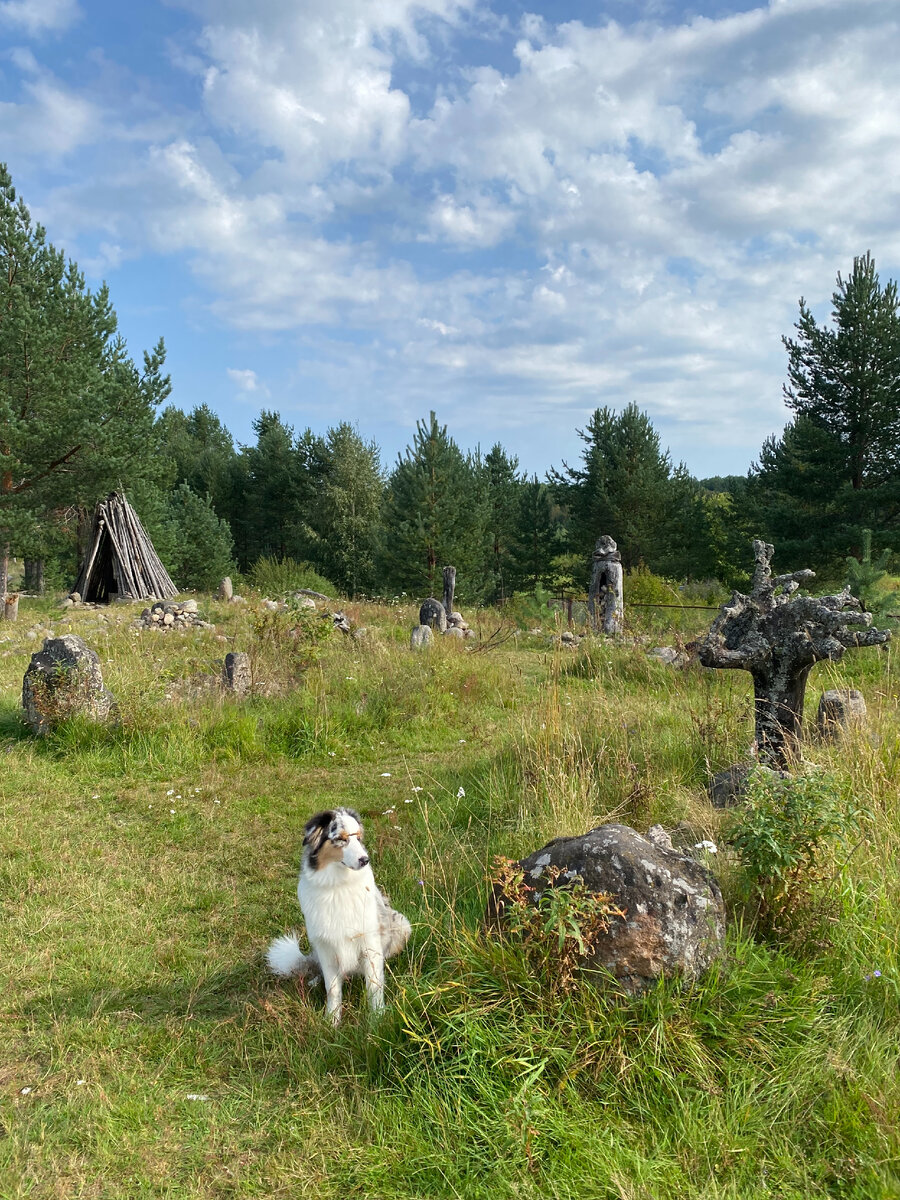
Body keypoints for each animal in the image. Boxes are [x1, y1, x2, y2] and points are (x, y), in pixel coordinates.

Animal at [266, 806, 410, 1022]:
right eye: (341, 839)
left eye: (358, 837)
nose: (365, 860)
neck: (337, 885)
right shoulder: (325, 946)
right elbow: (332, 988)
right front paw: (331, 1021)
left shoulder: (369, 943)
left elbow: (374, 986)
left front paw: (377, 1019)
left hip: (401, 924)